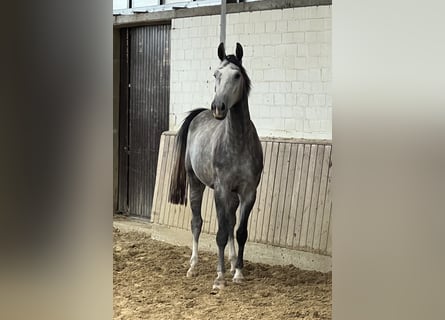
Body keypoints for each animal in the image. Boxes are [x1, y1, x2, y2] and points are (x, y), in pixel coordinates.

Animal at [168, 42, 262, 290]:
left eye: (237, 75)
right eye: (216, 74)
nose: (218, 107)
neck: (237, 141)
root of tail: (200, 114)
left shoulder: (248, 192)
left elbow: (240, 231)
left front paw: (238, 272)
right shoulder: (220, 189)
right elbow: (219, 233)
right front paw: (219, 279)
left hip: (232, 195)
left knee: (230, 224)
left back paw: (231, 263)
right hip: (196, 183)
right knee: (197, 222)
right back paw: (193, 266)